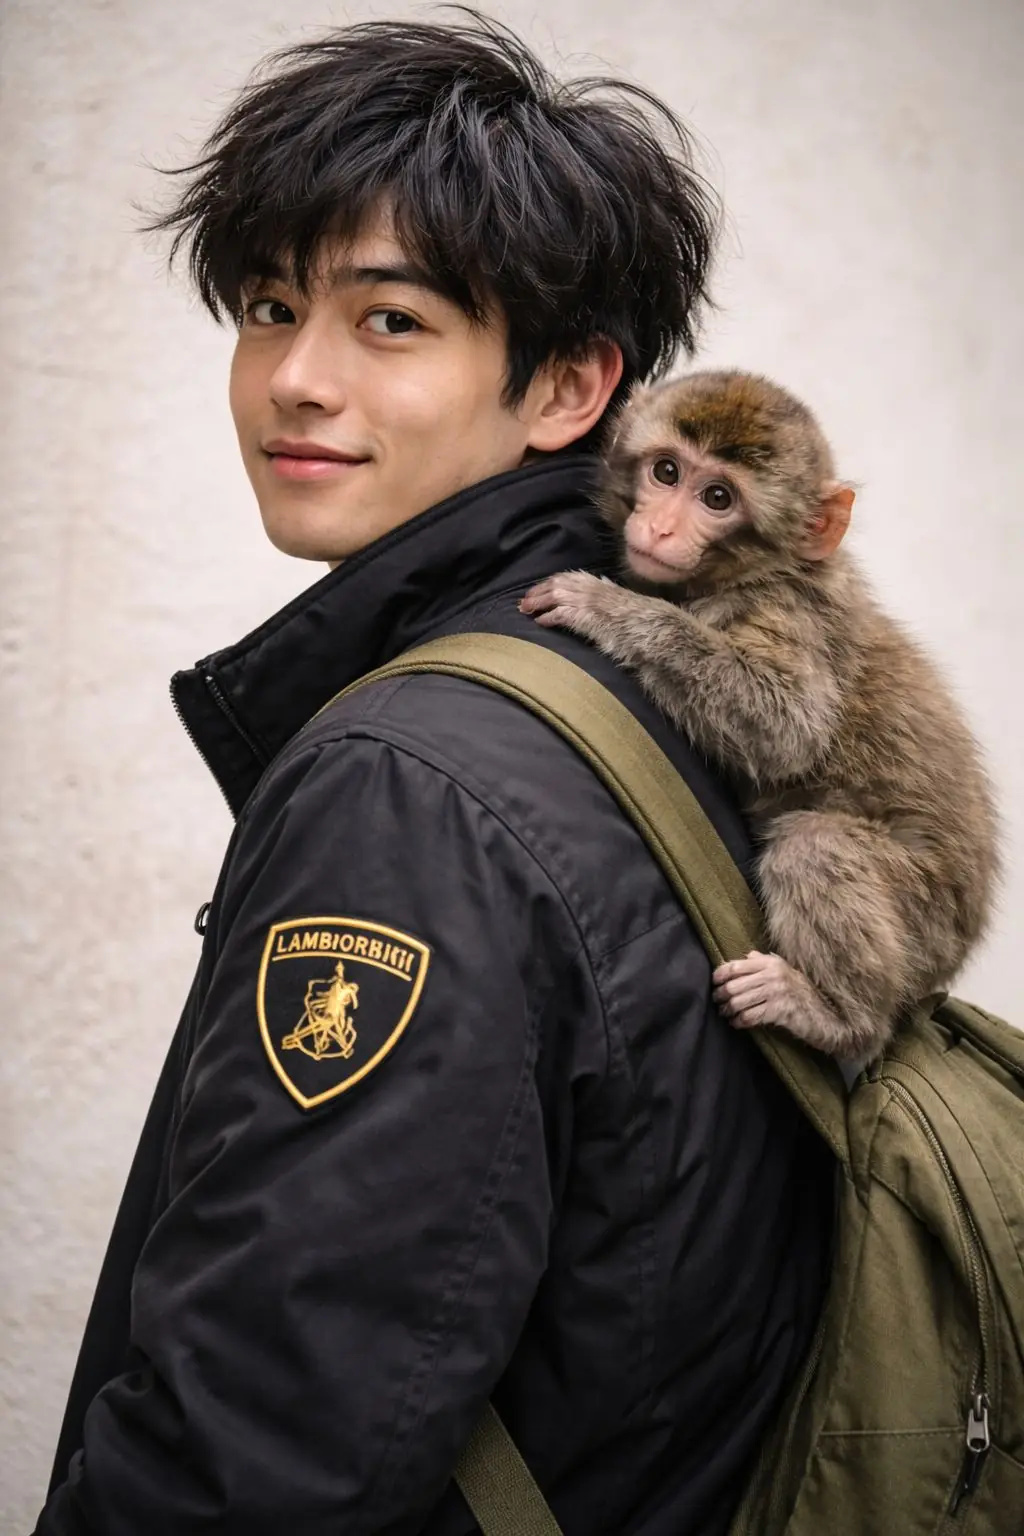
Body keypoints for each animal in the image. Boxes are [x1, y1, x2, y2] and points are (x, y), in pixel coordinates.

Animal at [519, 370, 1000, 1063]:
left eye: (717, 497)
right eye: (667, 471)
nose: (660, 528)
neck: (749, 574)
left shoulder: (787, 611)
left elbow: (786, 727)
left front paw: (606, 607)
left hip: (926, 916)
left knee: (815, 847)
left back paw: (836, 1017)